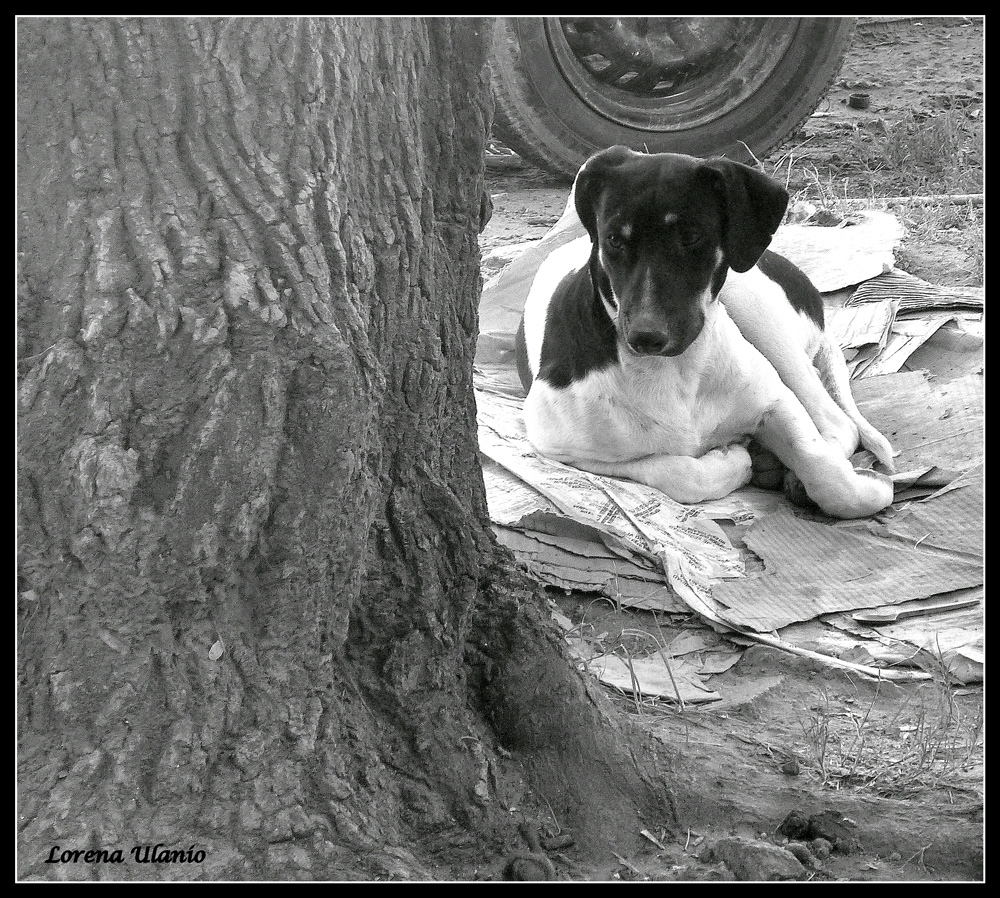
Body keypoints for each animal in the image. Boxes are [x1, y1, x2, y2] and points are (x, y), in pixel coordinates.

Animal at [512, 145, 896, 520]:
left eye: (691, 237)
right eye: (614, 241)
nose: (644, 337)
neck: (676, 370)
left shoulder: (775, 401)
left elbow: (826, 470)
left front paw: (866, 491)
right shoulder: (561, 446)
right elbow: (681, 473)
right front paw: (734, 460)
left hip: (759, 314)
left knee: (836, 421)